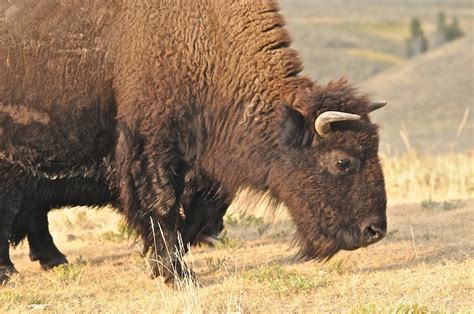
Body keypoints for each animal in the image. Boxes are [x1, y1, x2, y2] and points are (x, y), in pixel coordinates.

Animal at [0, 0, 386, 284]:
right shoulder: (154, 148)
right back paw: (12, 272)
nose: (374, 230)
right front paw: (178, 275)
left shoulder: (201, 170)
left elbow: (191, 216)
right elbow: (163, 207)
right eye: (342, 161)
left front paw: (162, 266)